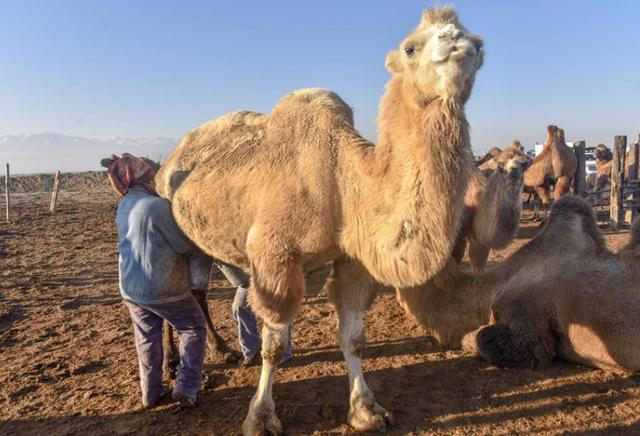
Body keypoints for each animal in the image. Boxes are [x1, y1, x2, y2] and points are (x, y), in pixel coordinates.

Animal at [156, 5, 484, 432]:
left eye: (478, 43)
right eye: (410, 48)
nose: (459, 43)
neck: (344, 182)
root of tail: (169, 160)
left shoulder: (353, 258)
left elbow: (354, 337)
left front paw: (366, 411)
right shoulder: (275, 258)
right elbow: (272, 345)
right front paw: (260, 418)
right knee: (179, 289)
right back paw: (183, 362)